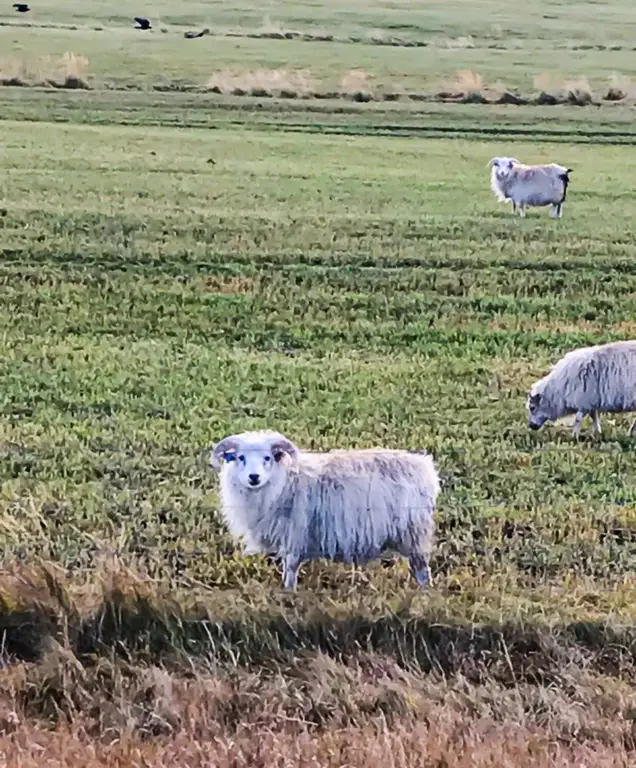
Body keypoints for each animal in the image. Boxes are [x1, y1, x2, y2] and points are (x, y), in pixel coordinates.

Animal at [206, 428, 440, 592]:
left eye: (267, 458)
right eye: (240, 458)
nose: (253, 477)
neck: (283, 481)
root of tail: (425, 468)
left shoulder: (296, 533)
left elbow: (290, 566)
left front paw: (288, 593)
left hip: (413, 531)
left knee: (422, 569)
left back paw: (425, 594)